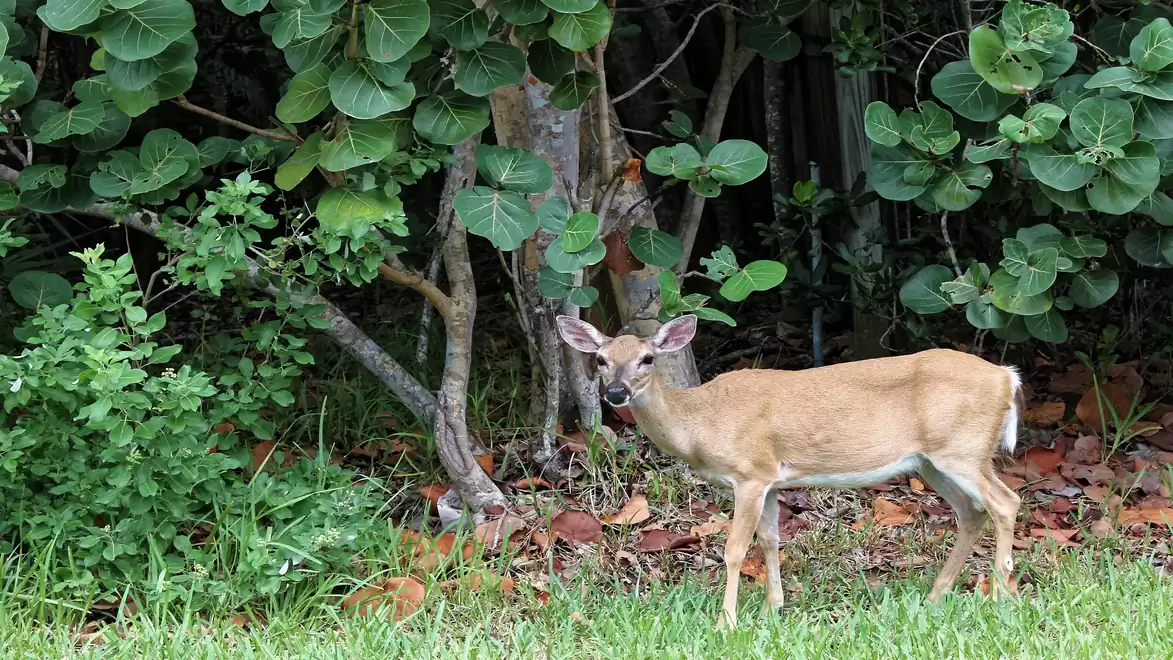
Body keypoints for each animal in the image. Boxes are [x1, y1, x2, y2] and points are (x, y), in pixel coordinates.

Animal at [556, 313, 1024, 629]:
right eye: (601, 359)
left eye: (648, 358)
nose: (616, 393)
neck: (702, 421)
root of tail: (1007, 376)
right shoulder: (769, 481)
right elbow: (770, 541)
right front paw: (771, 609)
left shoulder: (749, 472)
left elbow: (734, 550)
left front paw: (727, 622)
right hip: (932, 460)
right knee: (972, 513)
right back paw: (935, 598)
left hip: (962, 449)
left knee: (1006, 501)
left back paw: (1000, 598)